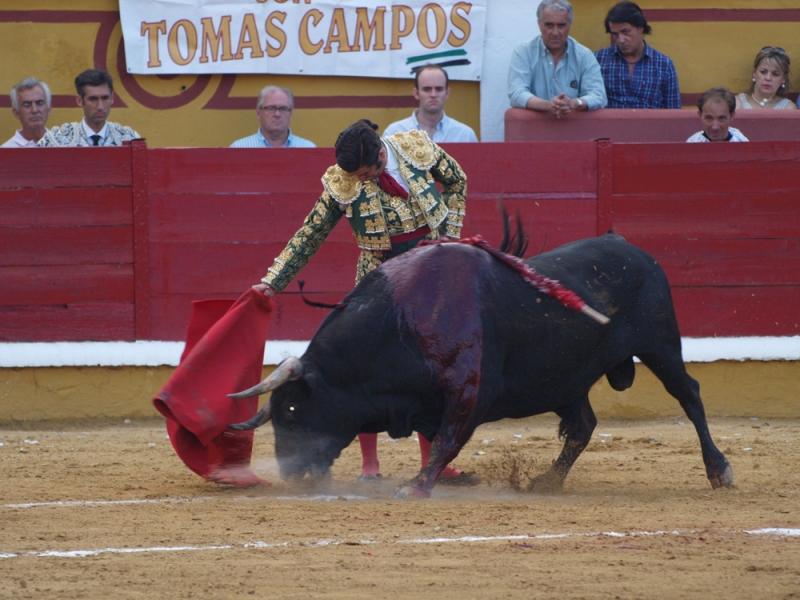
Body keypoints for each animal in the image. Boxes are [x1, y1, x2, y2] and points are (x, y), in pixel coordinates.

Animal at [228, 233, 736, 496]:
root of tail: (637, 251)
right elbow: (437, 438)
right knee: (582, 425)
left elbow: (446, 440)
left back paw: (719, 471)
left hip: (661, 345)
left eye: (293, 410)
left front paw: (417, 486)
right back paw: (547, 480)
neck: (402, 320)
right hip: (567, 379)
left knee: (689, 395)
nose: (291, 473)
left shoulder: (468, 391)